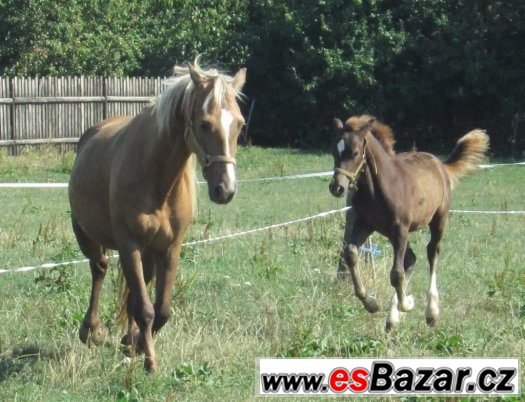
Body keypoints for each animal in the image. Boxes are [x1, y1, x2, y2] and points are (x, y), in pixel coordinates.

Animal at [68, 59, 247, 370]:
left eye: (239, 123)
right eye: (204, 123)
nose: (225, 189)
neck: (157, 178)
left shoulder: (170, 247)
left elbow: (160, 309)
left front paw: (139, 344)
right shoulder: (129, 246)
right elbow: (145, 308)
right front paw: (149, 359)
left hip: (148, 253)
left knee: (131, 293)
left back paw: (128, 338)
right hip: (86, 234)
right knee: (99, 269)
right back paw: (91, 330)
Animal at [328, 115, 488, 330]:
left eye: (354, 152)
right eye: (334, 152)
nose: (337, 187)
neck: (379, 189)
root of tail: (440, 164)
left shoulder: (400, 230)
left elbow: (396, 274)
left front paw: (409, 303)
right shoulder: (366, 225)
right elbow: (351, 253)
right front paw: (371, 303)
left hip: (437, 221)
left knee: (432, 253)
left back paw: (431, 312)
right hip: (391, 233)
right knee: (411, 259)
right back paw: (392, 319)